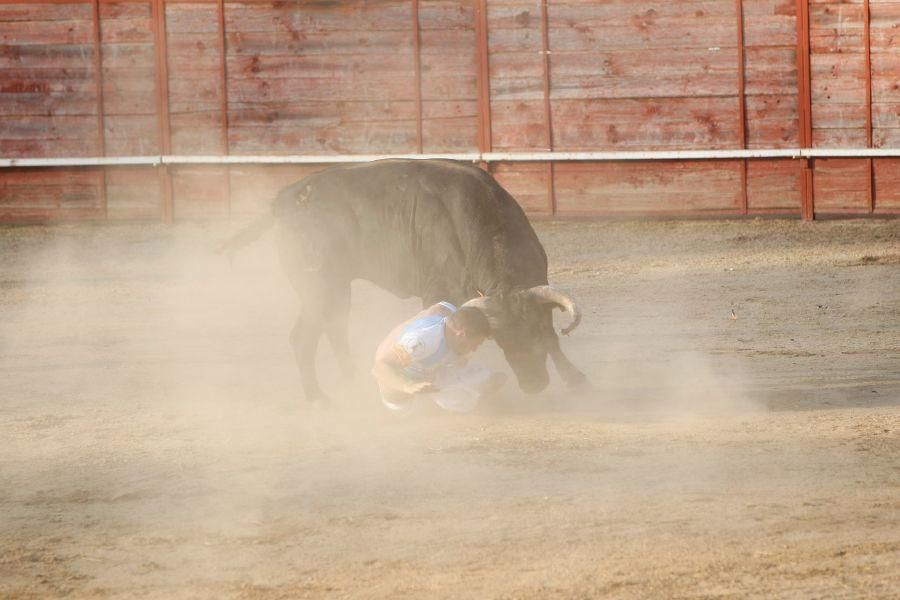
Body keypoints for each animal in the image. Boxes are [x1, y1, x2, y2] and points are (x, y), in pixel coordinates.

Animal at [221, 162, 588, 400]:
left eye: (533, 333)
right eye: (501, 341)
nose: (534, 385)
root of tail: (284, 201)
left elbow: (555, 338)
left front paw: (575, 378)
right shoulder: (439, 290)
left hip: (337, 287)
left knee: (335, 328)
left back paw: (352, 381)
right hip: (318, 286)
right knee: (303, 336)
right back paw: (316, 396)